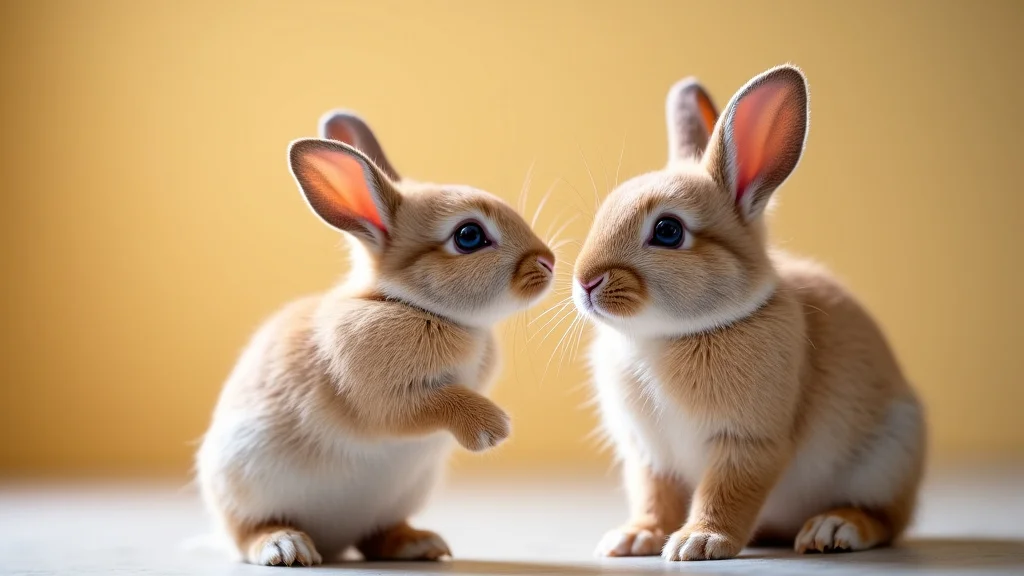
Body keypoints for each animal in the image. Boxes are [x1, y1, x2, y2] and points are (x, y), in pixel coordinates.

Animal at [196, 111, 556, 566]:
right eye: (469, 236)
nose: (549, 261)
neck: (415, 306)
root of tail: (333, 540)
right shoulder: (382, 396)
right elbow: (435, 403)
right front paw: (494, 429)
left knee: (375, 536)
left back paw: (421, 544)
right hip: (242, 486)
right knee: (245, 533)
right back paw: (286, 547)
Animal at [573, 65, 926, 561]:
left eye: (668, 231)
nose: (585, 282)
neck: (668, 336)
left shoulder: (748, 442)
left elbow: (727, 493)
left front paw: (698, 542)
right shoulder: (649, 455)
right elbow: (655, 496)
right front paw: (634, 538)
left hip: (887, 459)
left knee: (887, 519)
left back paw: (833, 529)